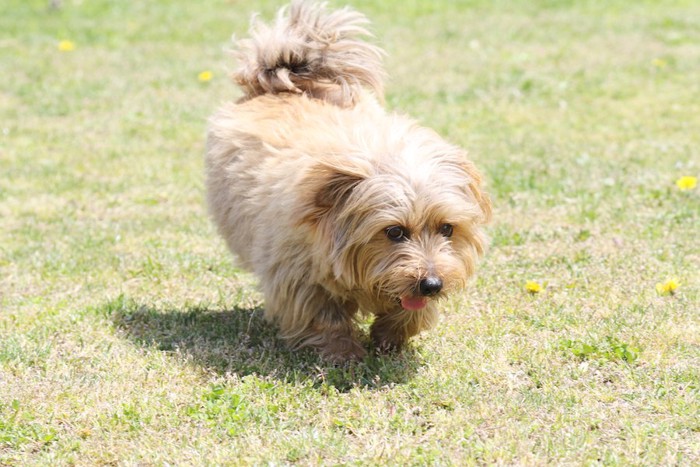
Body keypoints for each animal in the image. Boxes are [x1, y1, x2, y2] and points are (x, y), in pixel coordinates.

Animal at [204, 0, 492, 362]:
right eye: (394, 232)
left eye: (447, 228)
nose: (431, 284)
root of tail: (282, 83)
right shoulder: (297, 274)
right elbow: (324, 317)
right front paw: (344, 354)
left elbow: (410, 312)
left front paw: (390, 337)